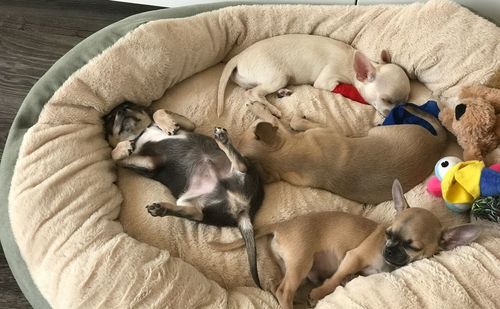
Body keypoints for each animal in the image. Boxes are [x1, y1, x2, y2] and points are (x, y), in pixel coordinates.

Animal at [102, 102, 266, 288]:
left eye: (130, 105)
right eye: (109, 119)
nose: (122, 110)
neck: (140, 133)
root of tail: (242, 210)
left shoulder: (188, 126)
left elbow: (159, 112)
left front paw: (167, 125)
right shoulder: (150, 165)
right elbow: (113, 156)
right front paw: (122, 148)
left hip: (245, 170)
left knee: (241, 167)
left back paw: (222, 140)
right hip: (188, 201)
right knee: (196, 212)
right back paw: (161, 209)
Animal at [211, 178, 480, 308]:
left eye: (412, 247)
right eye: (388, 234)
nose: (388, 249)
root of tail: (281, 225)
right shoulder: (353, 258)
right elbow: (335, 279)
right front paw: (320, 292)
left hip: (291, 267)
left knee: (278, 287)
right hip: (302, 263)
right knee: (283, 291)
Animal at [218, 33, 410, 117]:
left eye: (405, 102)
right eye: (386, 100)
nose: (397, 111)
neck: (351, 65)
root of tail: (237, 57)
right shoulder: (327, 81)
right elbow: (348, 89)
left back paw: (283, 93)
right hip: (278, 76)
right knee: (253, 93)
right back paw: (273, 109)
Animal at [236, 101, 448, 205]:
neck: (288, 158)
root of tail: (437, 143)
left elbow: (287, 122)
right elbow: (285, 122)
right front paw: (259, 108)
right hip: (381, 131)